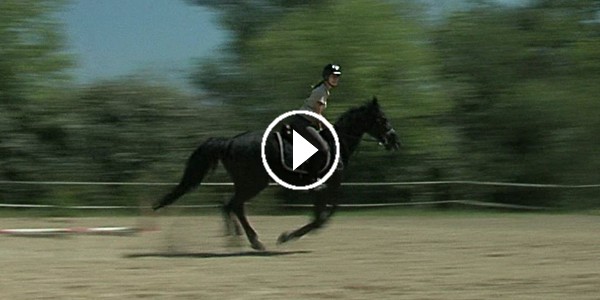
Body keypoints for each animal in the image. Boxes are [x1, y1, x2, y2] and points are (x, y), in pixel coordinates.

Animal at [152, 97, 400, 250]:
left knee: (229, 205)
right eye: (382, 119)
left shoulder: (323, 190)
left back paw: (239, 239)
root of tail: (230, 141)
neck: (336, 143)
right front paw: (286, 237)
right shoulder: (326, 188)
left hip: (248, 183)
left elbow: (322, 217)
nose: (395, 141)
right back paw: (252, 241)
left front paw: (290, 235)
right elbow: (321, 218)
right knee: (234, 205)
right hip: (253, 183)